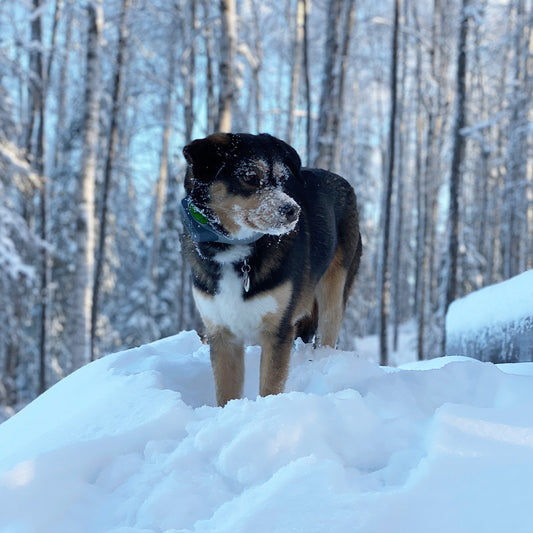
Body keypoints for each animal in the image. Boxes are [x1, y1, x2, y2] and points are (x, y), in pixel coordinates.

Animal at [180, 134, 362, 408]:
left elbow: (270, 386)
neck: (235, 250)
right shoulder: (221, 333)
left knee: (327, 330)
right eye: (250, 176)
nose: (292, 211)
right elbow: (226, 392)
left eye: (282, 179)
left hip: (334, 289)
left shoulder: (278, 329)